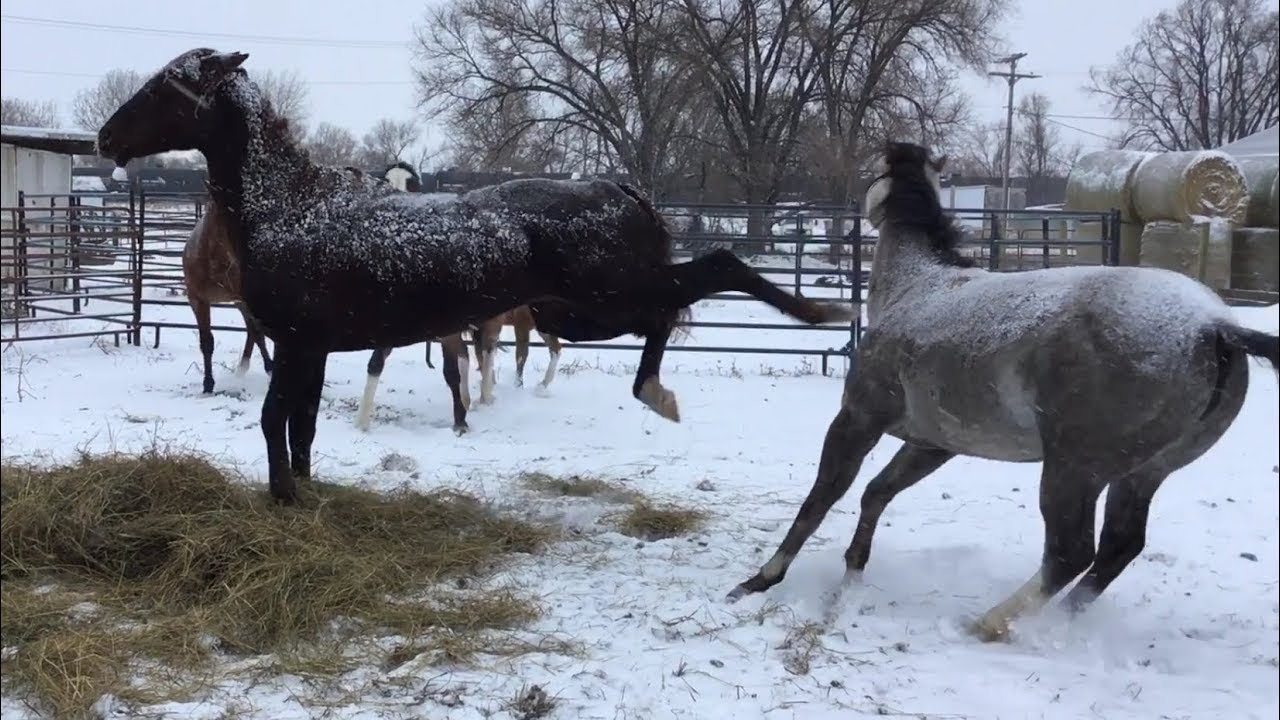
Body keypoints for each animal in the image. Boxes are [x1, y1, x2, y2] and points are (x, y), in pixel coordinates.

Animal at [182, 200, 273, 394]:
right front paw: (208, 385)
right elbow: (206, 342)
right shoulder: (198, 300)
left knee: (257, 331)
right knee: (252, 331)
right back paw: (242, 369)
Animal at [726, 141, 1279, 642]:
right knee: (1116, 550)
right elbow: (875, 494)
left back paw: (988, 624)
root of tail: (1214, 328)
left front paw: (759, 580)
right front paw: (851, 577)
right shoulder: (933, 444)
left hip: (1074, 470)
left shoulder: (858, 419)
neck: (917, 289)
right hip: (1142, 474)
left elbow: (821, 499)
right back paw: (1058, 626)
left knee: (1071, 552)